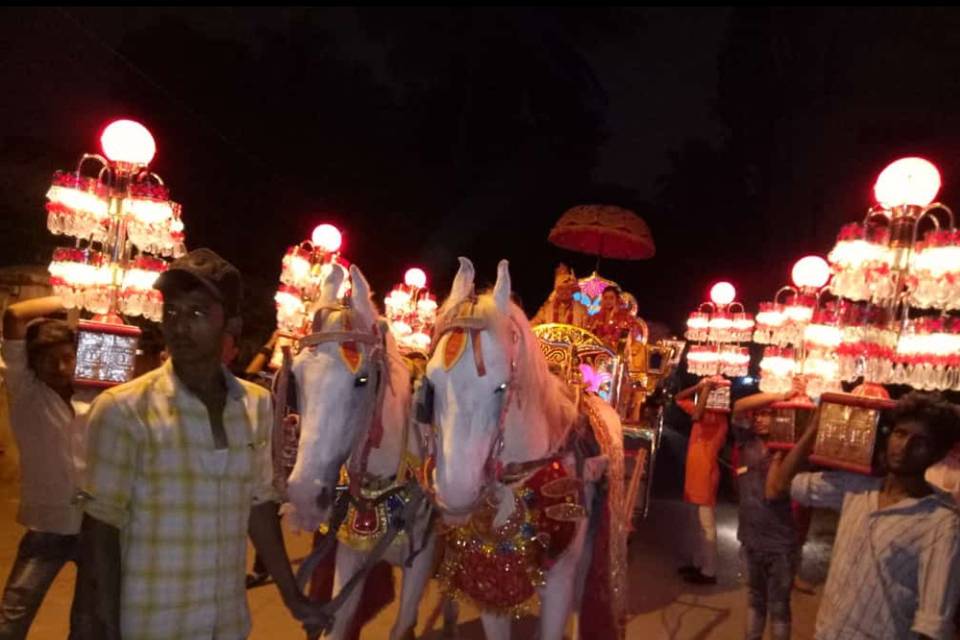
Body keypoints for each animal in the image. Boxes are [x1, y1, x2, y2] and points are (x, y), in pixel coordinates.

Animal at [284, 264, 436, 640]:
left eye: (362, 380)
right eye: (297, 376)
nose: (305, 496)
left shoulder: (421, 560)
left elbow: (402, 624)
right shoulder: (352, 552)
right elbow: (338, 624)